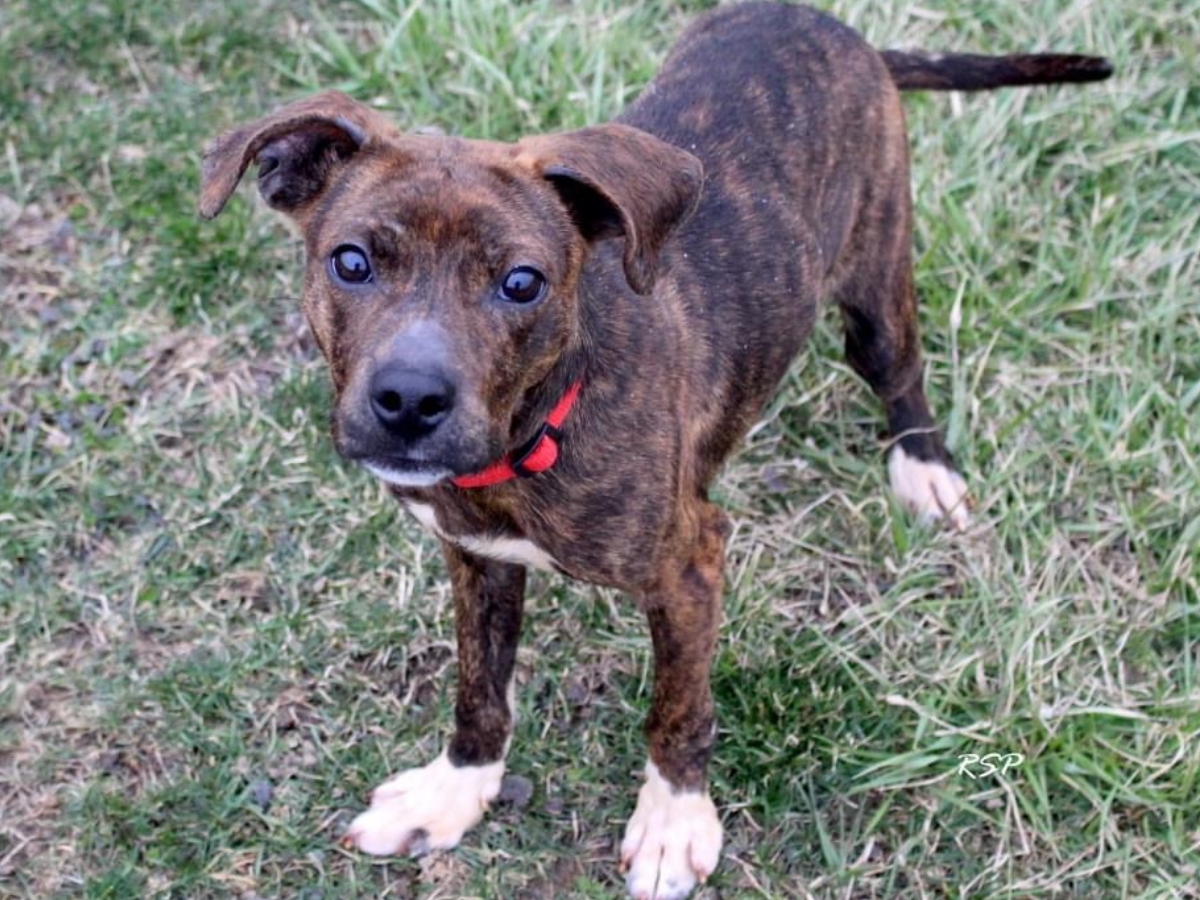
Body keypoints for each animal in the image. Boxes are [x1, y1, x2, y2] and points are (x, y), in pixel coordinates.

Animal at [199, 3, 1113, 897]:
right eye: (350, 262)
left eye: (522, 283)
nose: (410, 400)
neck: (534, 432)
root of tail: (837, 28)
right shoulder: (477, 559)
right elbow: (479, 687)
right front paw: (456, 789)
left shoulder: (689, 565)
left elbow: (678, 709)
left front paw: (674, 820)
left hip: (877, 270)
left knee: (899, 369)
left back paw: (924, 470)